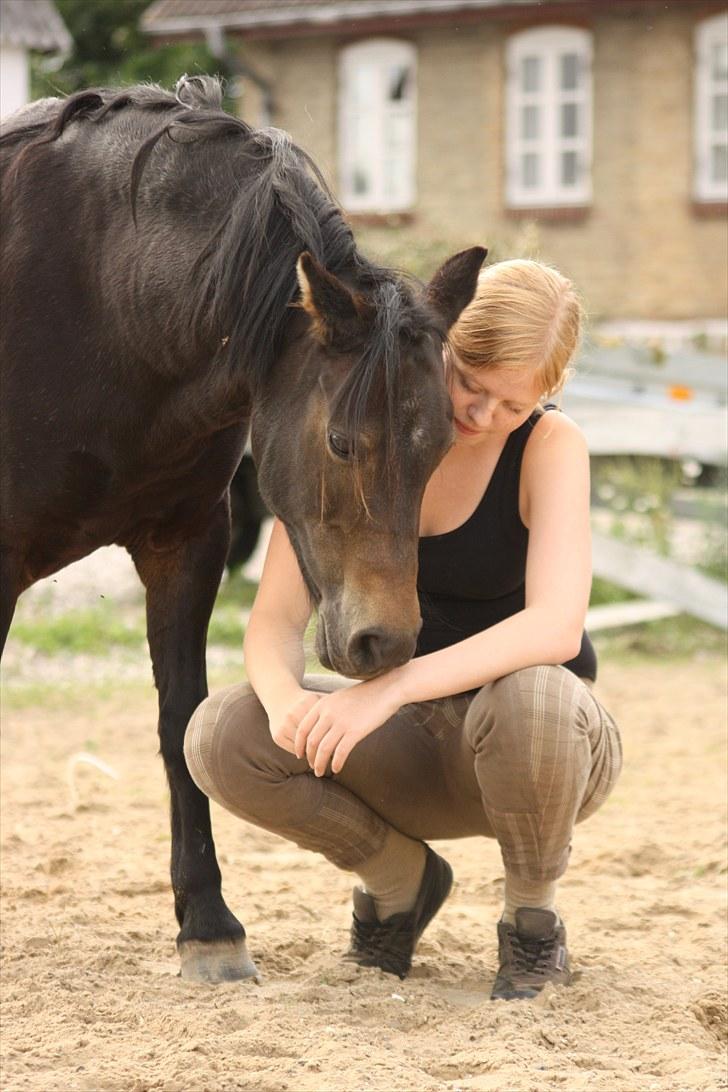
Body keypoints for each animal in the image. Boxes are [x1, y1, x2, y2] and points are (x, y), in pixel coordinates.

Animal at [1, 76, 488, 982]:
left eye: (442, 445)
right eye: (341, 441)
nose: (387, 643)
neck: (98, 298)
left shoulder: (186, 546)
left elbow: (179, 725)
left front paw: (209, 924)